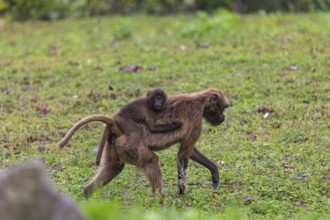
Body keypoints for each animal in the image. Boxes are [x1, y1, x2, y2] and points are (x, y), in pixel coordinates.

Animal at [57, 88, 229, 197]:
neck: (199, 101)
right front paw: (181, 194)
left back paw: (87, 193)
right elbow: (183, 154)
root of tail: (116, 125)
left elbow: (190, 152)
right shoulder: (195, 117)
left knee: (115, 167)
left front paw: (214, 173)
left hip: (115, 147)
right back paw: (160, 199)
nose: (223, 118)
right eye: (223, 108)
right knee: (152, 160)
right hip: (129, 145)